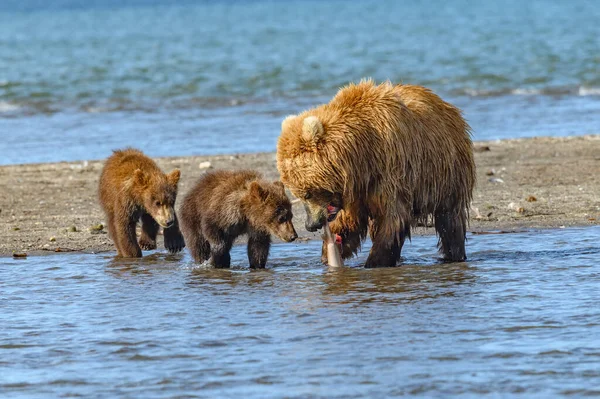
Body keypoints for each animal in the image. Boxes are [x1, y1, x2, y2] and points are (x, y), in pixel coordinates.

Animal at [278, 79, 478, 268]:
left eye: (307, 193)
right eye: (297, 194)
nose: (310, 225)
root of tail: (448, 106)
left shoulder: (391, 168)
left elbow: (392, 218)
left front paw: (375, 261)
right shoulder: (356, 191)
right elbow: (349, 223)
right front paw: (331, 251)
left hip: (446, 171)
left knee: (450, 219)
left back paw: (453, 255)